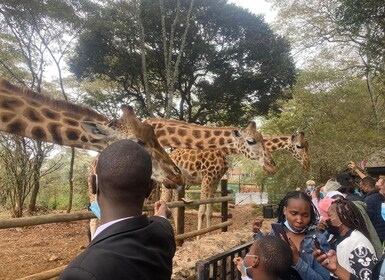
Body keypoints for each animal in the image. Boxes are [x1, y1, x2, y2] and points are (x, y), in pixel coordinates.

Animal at [162, 131, 308, 232]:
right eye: (299, 146)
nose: (307, 164)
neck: (225, 151)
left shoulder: (215, 179)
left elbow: (209, 211)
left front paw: (207, 233)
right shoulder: (206, 177)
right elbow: (201, 211)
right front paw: (199, 237)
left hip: (179, 184)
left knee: (173, 208)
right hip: (166, 182)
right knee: (164, 202)